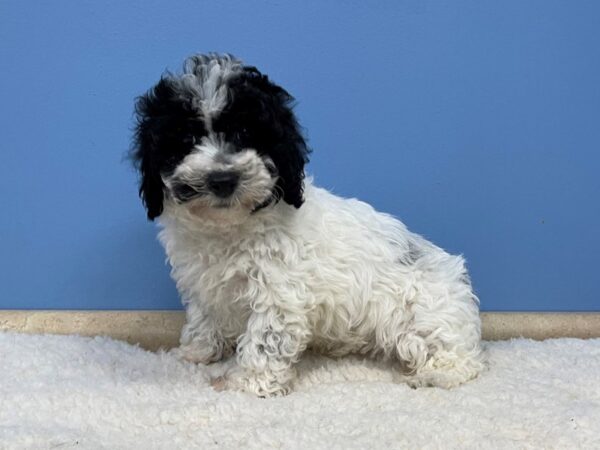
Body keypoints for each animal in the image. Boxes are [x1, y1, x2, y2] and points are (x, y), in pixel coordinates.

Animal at [132, 53, 488, 398]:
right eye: (187, 138)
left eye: (246, 134)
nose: (222, 179)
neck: (229, 227)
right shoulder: (203, 283)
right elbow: (204, 315)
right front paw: (197, 351)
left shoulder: (278, 293)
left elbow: (265, 341)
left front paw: (246, 385)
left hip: (422, 318)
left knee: (460, 362)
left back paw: (433, 375)